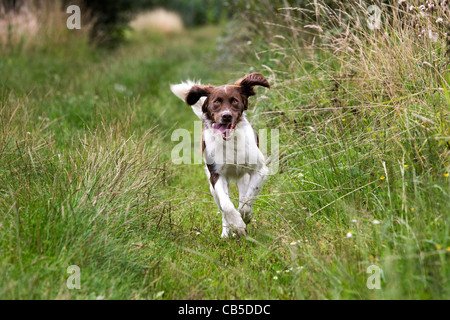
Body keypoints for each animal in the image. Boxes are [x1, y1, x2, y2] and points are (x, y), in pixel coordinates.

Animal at [171, 72, 270, 238]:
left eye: (235, 101)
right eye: (216, 102)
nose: (226, 116)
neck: (231, 141)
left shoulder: (260, 170)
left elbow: (247, 200)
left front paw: (245, 217)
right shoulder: (216, 175)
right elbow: (227, 205)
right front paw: (237, 225)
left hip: (243, 178)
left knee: (243, 195)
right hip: (212, 188)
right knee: (223, 209)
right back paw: (226, 233)